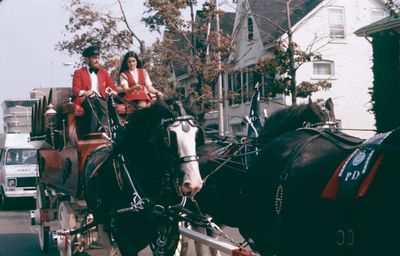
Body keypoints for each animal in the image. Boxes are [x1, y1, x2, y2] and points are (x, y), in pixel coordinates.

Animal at [84, 97, 203, 254]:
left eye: (197, 135)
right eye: (168, 137)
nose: (193, 184)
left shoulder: (169, 235)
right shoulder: (124, 238)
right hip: (101, 222)